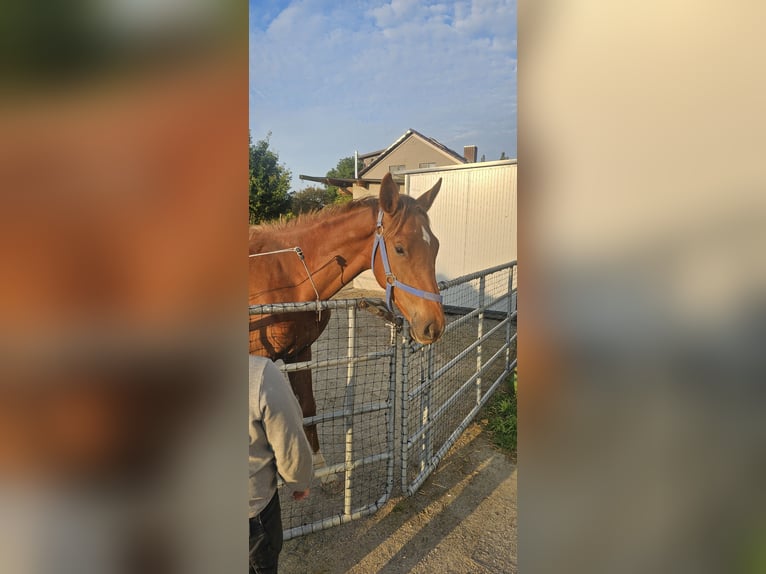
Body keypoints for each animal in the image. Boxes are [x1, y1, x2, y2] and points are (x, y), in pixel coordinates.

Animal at [249, 172, 445, 472]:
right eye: (399, 248)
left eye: (435, 246)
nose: (434, 325)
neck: (286, 275)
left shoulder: (300, 352)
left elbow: (308, 406)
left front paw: (318, 464)